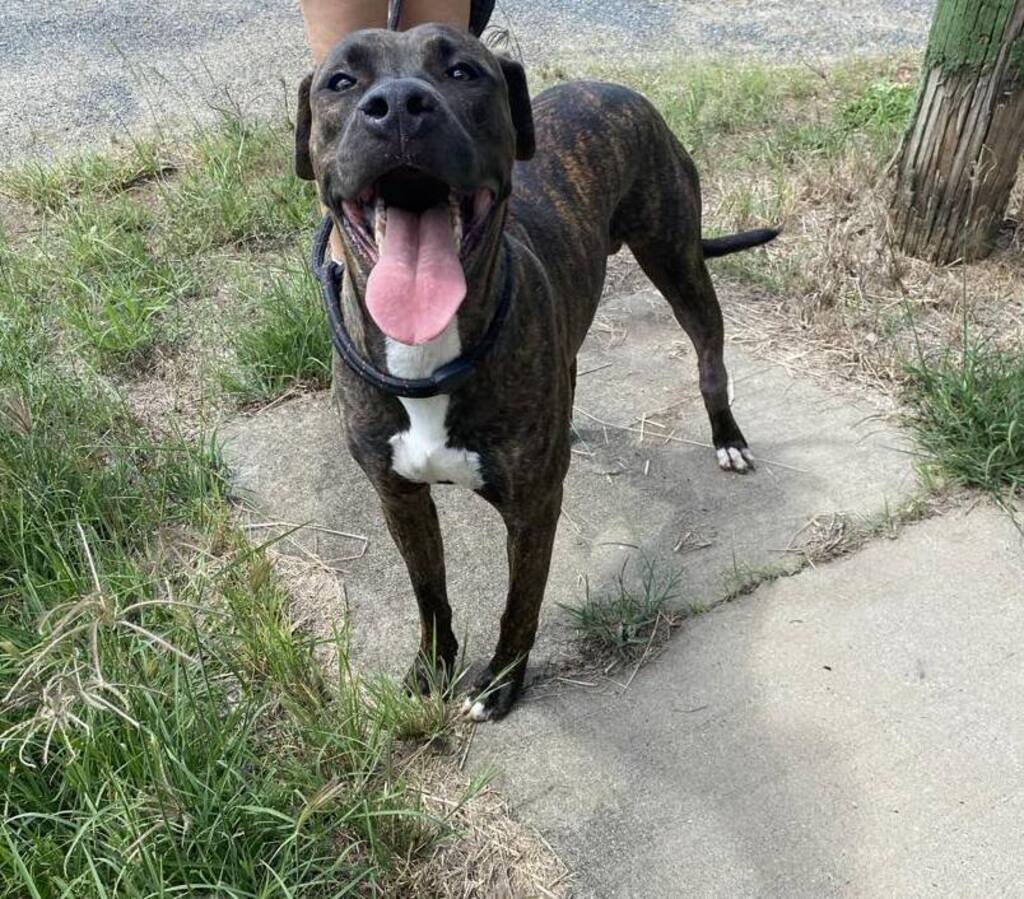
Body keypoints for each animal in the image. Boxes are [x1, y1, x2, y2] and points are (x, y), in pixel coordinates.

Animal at [294, 25, 777, 720]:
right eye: (342, 81)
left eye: (463, 71)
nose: (400, 105)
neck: (428, 360)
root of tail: (611, 87)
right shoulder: (399, 498)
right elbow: (429, 593)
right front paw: (432, 667)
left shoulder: (532, 511)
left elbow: (519, 604)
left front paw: (499, 684)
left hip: (678, 261)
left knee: (710, 356)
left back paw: (727, 437)